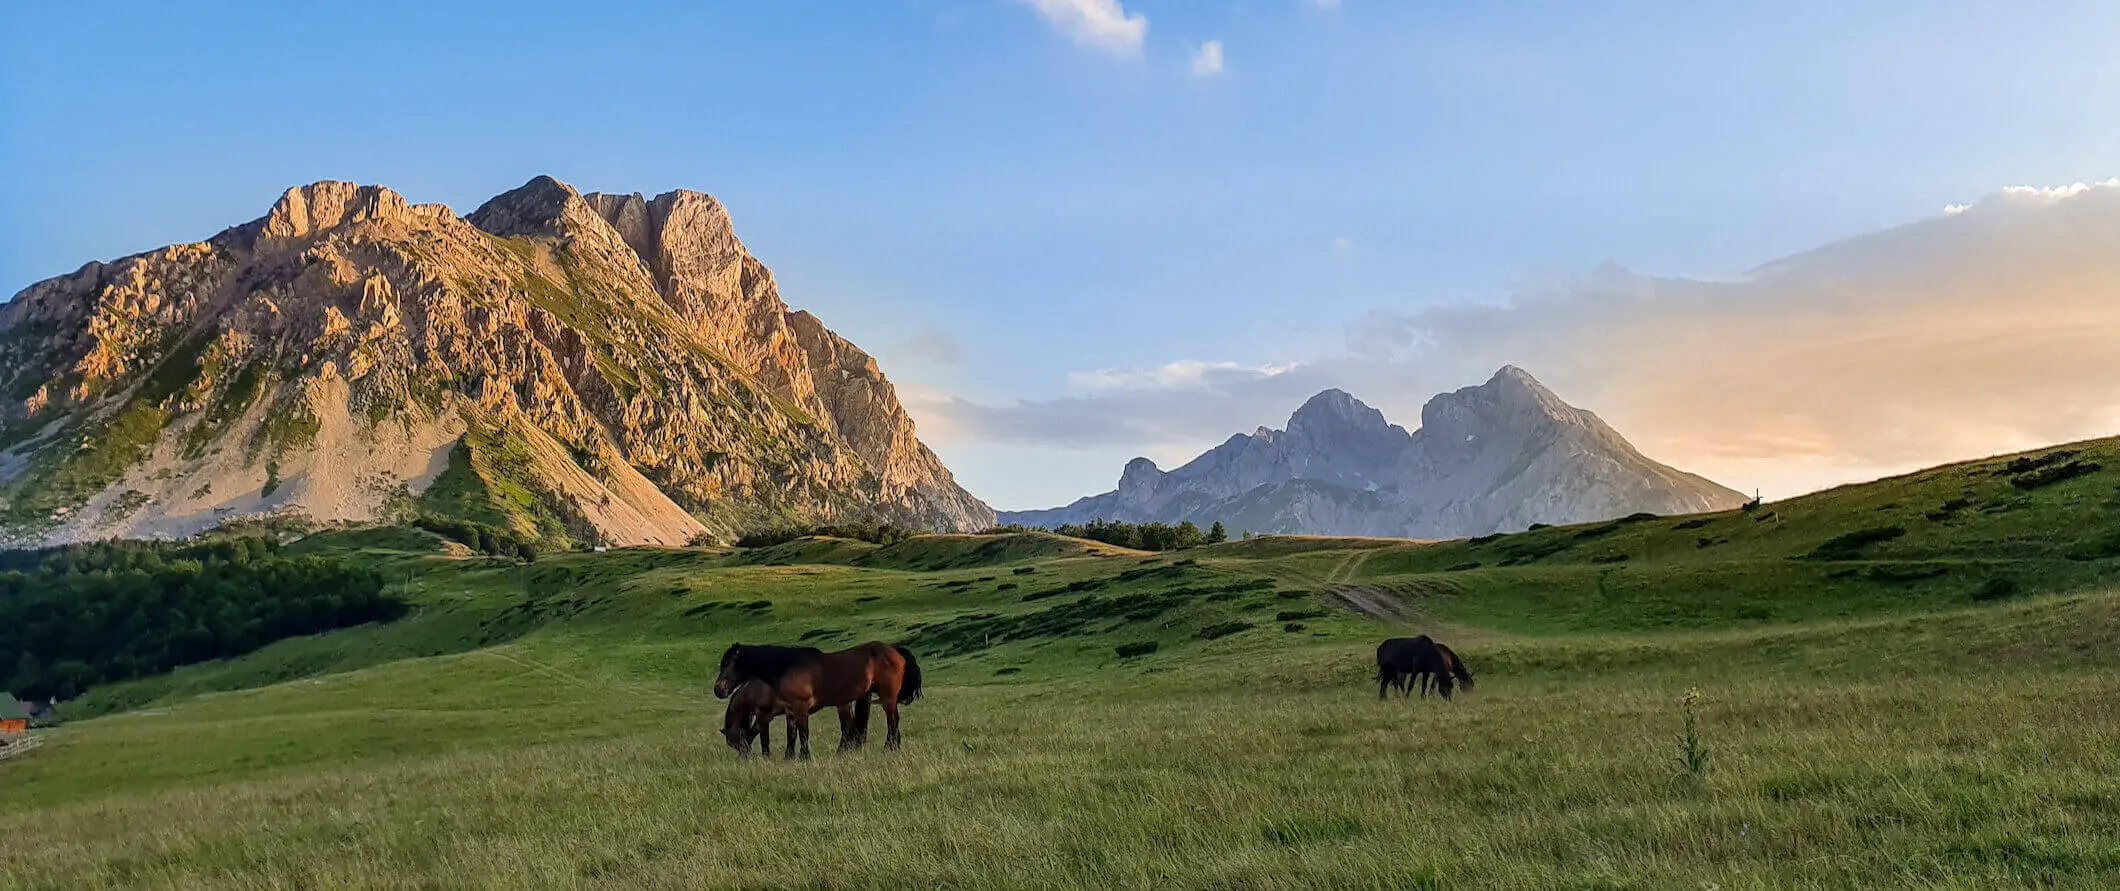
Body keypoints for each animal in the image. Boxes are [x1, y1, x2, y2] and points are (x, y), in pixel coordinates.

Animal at [716, 640, 924, 759]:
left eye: (728, 663)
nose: (718, 689)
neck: (786, 667)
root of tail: (895, 651)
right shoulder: (790, 710)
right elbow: (792, 735)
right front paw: (790, 757)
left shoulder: (799, 707)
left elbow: (803, 733)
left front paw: (805, 757)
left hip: (887, 697)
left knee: (892, 721)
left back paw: (890, 747)